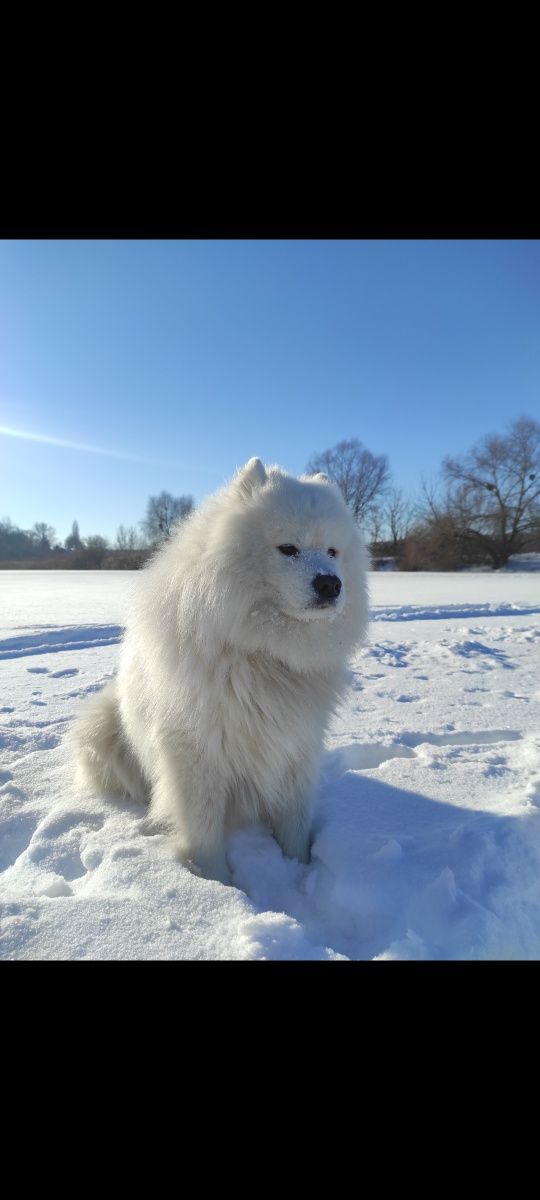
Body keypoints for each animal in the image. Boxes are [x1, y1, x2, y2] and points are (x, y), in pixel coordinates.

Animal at [73, 458, 369, 883]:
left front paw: (300, 873)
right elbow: (204, 832)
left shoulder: (296, 747)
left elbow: (295, 824)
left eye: (333, 550)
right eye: (288, 549)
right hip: (102, 728)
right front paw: (217, 886)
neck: (262, 653)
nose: (330, 584)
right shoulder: (197, 754)